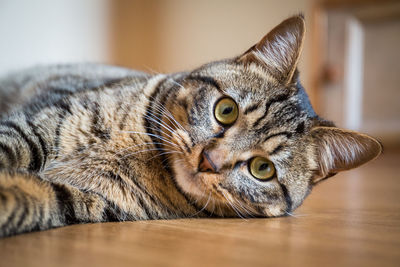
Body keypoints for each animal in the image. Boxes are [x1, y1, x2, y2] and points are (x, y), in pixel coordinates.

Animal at [0, 15, 382, 238]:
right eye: (226, 110)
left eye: (262, 169)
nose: (209, 160)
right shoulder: (39, 126)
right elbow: (12, 145)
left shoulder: (87, 199)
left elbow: (35, 197)